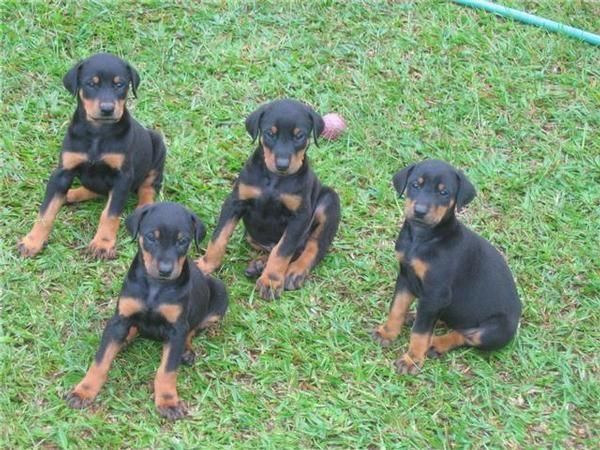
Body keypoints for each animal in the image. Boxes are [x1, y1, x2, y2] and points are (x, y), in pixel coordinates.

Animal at [18, 51, 166, 260]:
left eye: (119, 84)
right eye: (91, 84)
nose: (107, 109)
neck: (98, 132)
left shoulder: (122, 177)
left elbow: (110, 213)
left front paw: (102, 244)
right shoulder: (63, 171)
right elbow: (46, 212)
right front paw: (32, 241)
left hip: (158, 145)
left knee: (148, 186)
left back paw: (144, 208)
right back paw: (69, 195)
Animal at [65, 202, 229, 420]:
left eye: (183, 241)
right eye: (151, 237)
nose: (165, 270)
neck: (155, 287)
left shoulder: (176, 328)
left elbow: (167, 370)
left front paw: (168, 402)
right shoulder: (120, 319)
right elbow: (100, 361)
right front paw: (83, 391)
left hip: (220, 292)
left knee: (193, 328)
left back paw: (186, 350)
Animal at [196, 100, 340, 300]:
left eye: (299, 136)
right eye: (270, 133)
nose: (282, 165)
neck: (275, 180)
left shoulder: (299, 217)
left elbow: (283, 251)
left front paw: (271, 281)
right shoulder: (235, 202)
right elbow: (219, 237)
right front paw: (206, 265)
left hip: (329, 202)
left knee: (312, 246)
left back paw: (294, 272)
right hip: (252, 236)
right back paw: (259, 265)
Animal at [376, 160, 520, 374]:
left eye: (444, 193)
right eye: (415, 185)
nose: (420, 211)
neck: (423, 238)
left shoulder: (436, 292)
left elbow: (420, 332)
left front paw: (412, 360)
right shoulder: (405, 277)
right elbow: (397, 308)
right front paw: (387, 333)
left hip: (496, 330)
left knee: (465, 335)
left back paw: (435, 343)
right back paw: (414, 317)